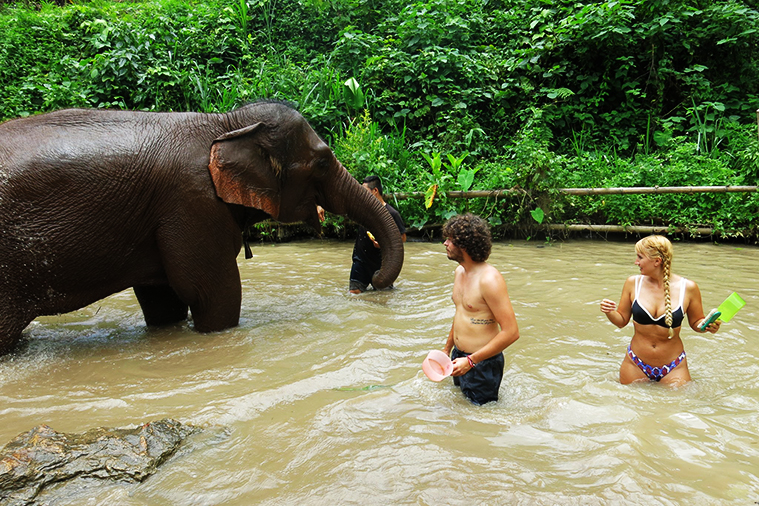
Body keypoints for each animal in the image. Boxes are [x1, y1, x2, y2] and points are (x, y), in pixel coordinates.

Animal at [0, 99, 404, 352]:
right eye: (321, 162)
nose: (377, 279)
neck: (224, 123)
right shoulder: (192, 201)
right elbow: (210, 291)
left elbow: (163, 299)